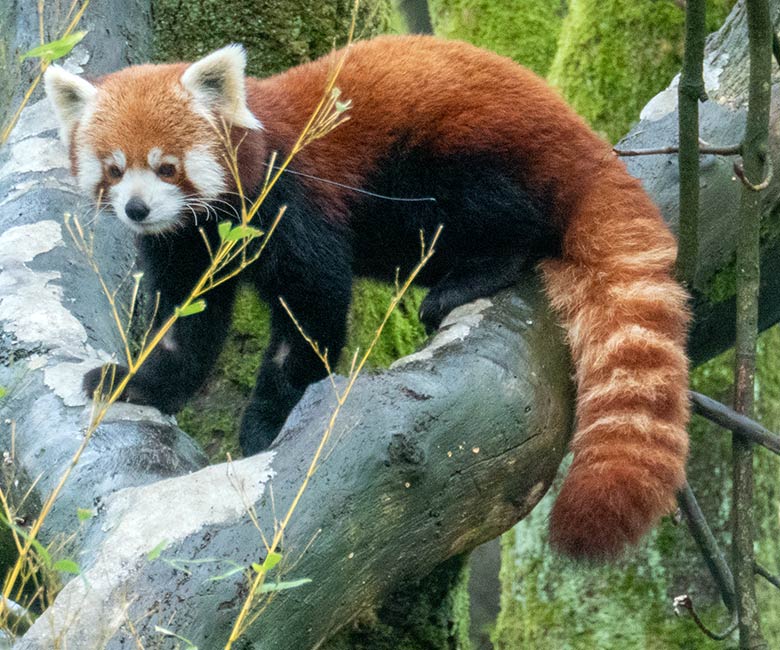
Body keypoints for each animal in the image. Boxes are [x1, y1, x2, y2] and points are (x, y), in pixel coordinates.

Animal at [44, 38, 688, 560]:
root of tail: (581, 139)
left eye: (167, 167)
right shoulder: (187, 244)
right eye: (114, 169)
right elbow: (186, 323)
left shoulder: (293, 201)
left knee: (508, 216)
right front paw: (138, 382)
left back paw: (473, 275)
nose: (137, 209)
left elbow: (311, 311)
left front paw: (268, 426)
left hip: (463, 152)